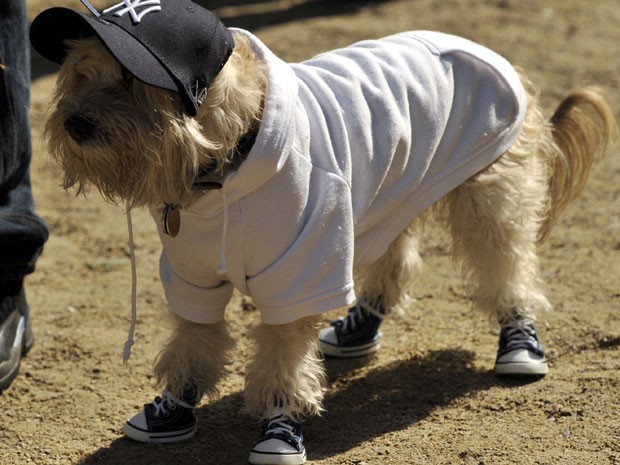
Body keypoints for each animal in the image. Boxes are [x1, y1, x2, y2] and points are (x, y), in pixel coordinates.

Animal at [31, 0, 616, 464]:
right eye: (81, 75)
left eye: (132, 82)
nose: (74, 123)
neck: (222, 168)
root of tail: (491, 54)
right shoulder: (192, 271)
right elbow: (192, 339)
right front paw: (173, 406)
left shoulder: (301, 269)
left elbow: (283, 360)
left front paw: (279, 425)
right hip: (392, 193)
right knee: (395, 261)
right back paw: (360, 327)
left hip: (488, 197)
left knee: (508, 268)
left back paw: (519, 341)